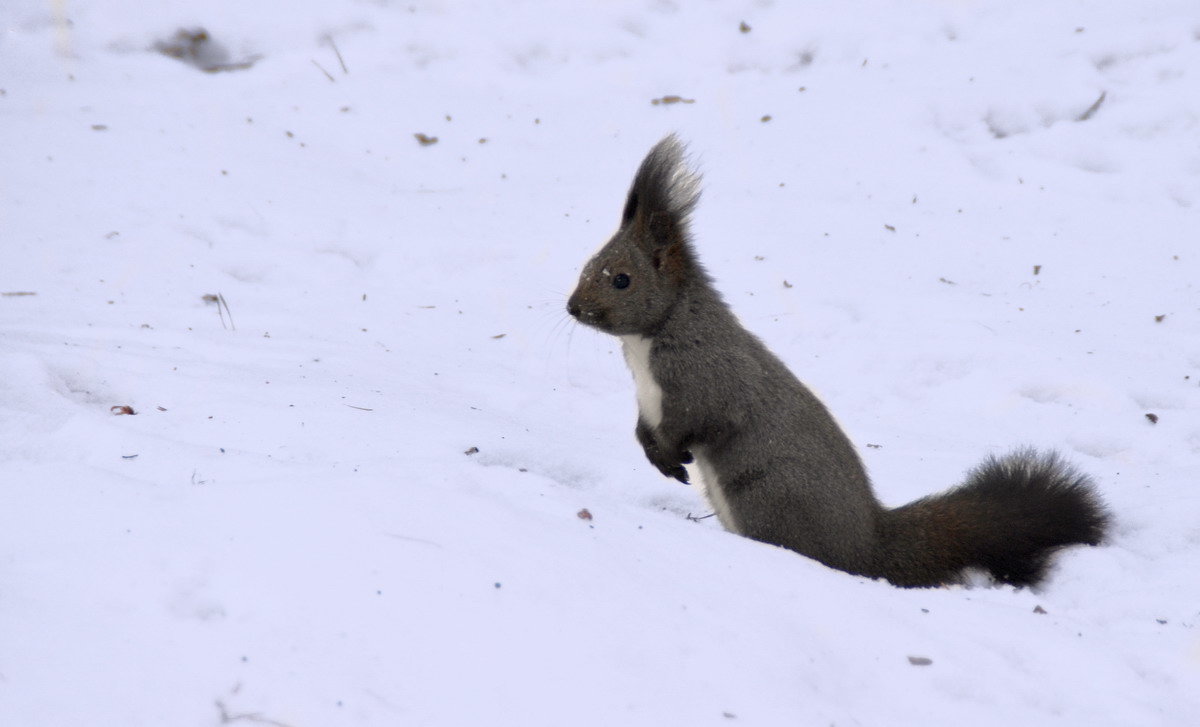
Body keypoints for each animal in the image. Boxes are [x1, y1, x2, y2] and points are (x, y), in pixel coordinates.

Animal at [566, 137, 1108, 592]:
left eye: (621, 279)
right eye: (588, 264)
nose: (572, 308)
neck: (650, 339)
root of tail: (869, 546)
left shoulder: (708, 381)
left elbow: (700, 421)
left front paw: (669, 457)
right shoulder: (648, 397)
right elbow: (642, 427)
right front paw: (653, 452)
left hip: (771, 497)